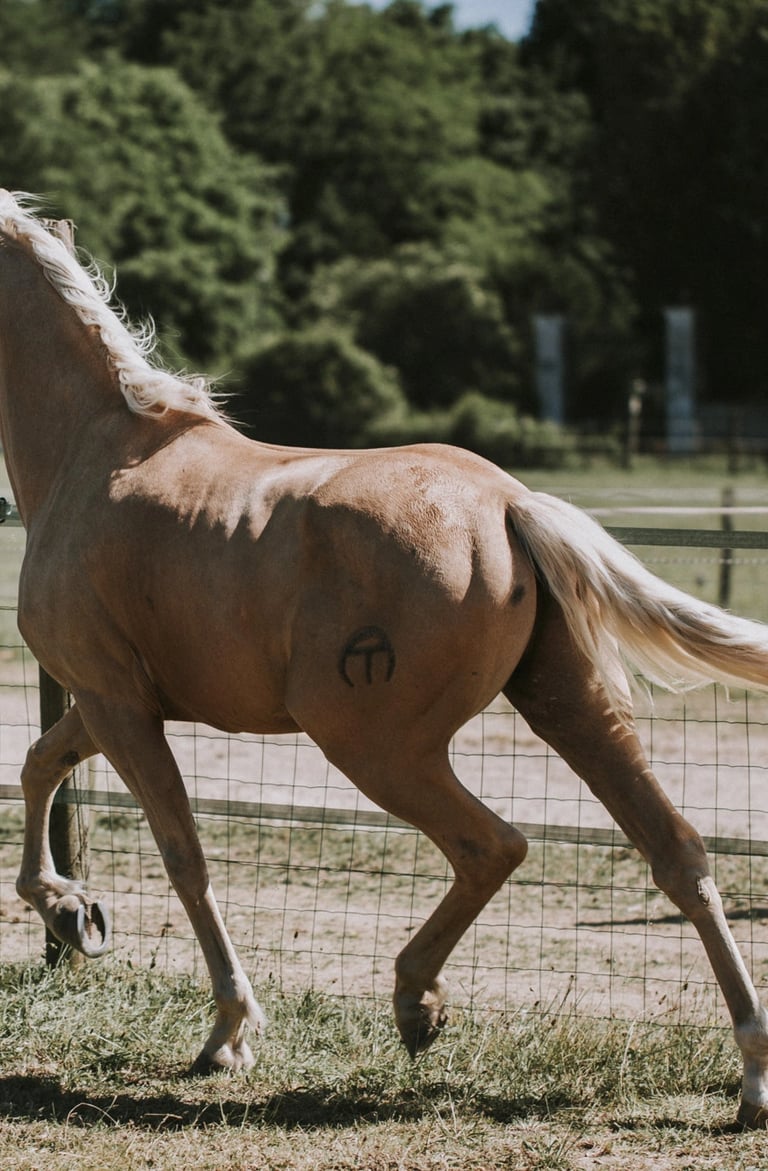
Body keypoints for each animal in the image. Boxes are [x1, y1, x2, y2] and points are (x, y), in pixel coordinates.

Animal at [2, 190, 768, 1127]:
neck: (91, 450)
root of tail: (509, 505)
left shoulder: (115, 701)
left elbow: (183, 854)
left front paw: (226, 1034)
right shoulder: (111, 698)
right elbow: (39, 765)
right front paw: (72, 912)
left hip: (374, 745)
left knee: (493, 845)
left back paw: (416, 1003)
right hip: (563, 702)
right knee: (680, 853)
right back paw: (751, 1078)